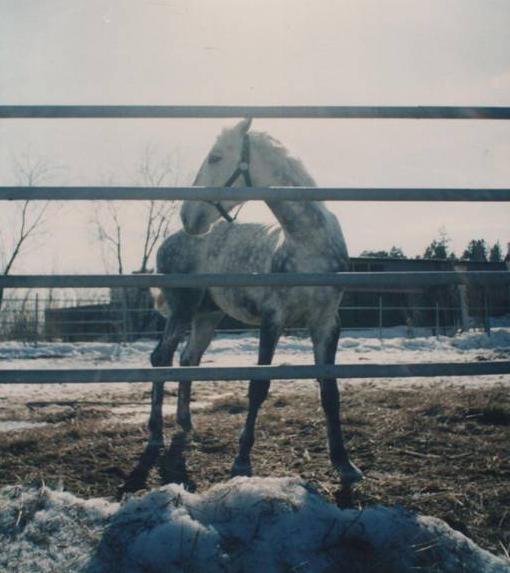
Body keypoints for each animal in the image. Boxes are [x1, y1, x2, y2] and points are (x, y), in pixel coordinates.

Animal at [148, 118, 362, 484]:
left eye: (216, 157)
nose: (188, 216)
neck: (308, 244)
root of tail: (170, 241)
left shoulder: (327, 324)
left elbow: (330, 391)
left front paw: (343, 463)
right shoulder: (272, 320)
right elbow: (258, 386)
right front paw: (242, 459)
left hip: (207, 317)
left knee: (188, 358)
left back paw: (186, 424)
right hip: (182, 309)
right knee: (161, 357)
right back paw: (155, 432)